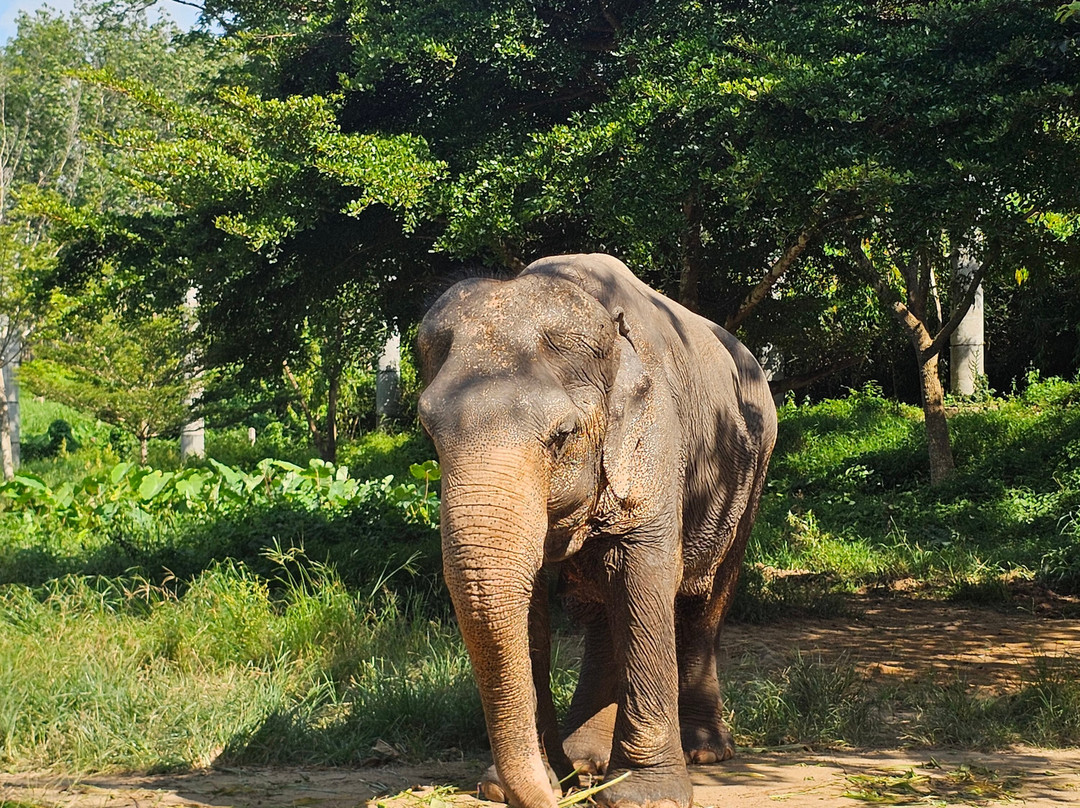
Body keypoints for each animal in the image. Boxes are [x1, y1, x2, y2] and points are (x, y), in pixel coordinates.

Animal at [417, 253, 777, 808]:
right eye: (428, 432)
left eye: (561, 436)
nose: (558, 790)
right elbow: (531, 604)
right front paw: (510, 785)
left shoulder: (656, 436)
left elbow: (644, 575)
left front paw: (646, 796)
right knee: (602, 612)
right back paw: (588, 758)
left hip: (753, 471)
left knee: (707, 599)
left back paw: (702, 753)